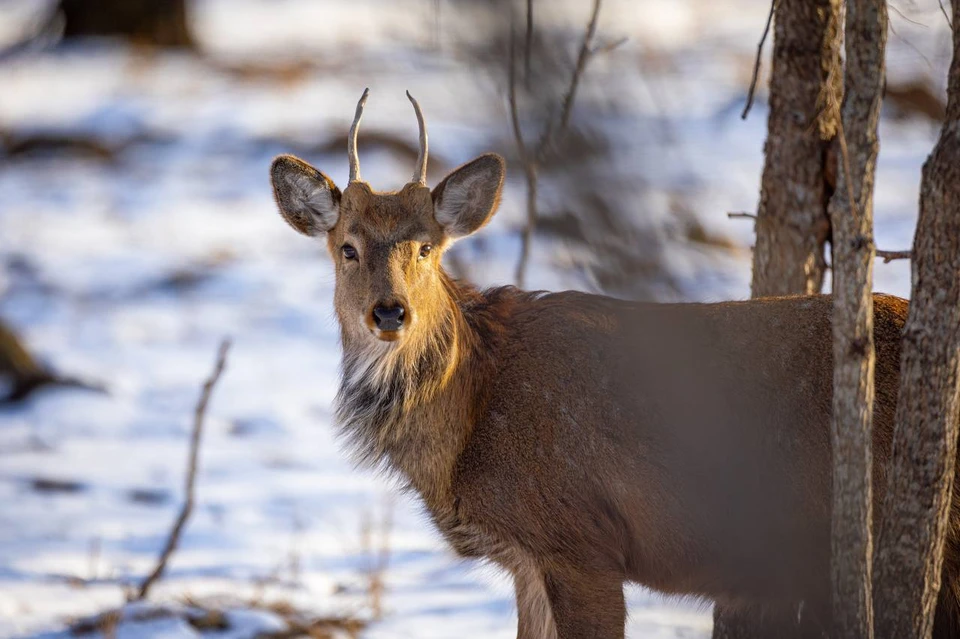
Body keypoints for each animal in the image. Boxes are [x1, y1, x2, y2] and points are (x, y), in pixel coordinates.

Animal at [268, 91, 960, 639]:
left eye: (426, 247)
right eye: (348, 248)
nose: (390, 312)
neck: (471, 421)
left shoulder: (579, 540)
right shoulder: (529, 558)